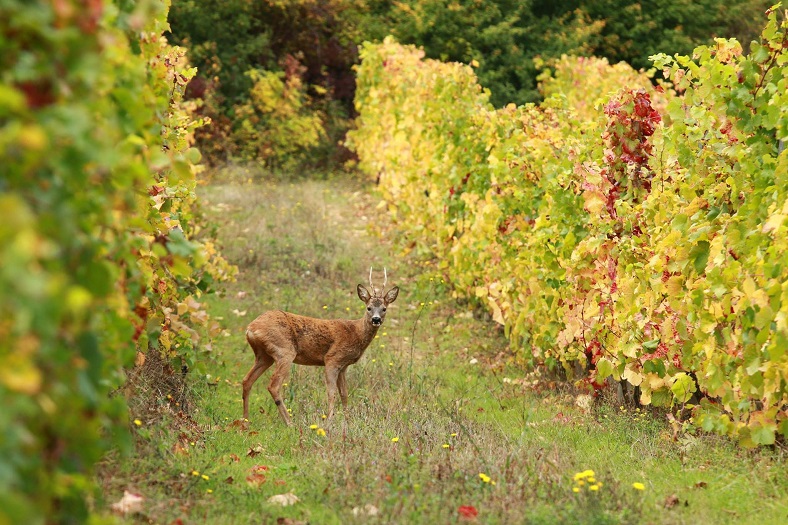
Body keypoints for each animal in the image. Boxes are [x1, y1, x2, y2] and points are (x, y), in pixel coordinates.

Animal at [242, 268, 400, 424]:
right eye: (368, 308)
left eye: (384, 308)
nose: (376, 319)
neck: (355, 333)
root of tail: (250, 328)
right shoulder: (332, 359)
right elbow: (331, 393)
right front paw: (329, 421)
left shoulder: (343, 366)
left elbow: (344, 394)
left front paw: (347, 420)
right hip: (284, 351)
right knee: (273, 386)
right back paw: (289, 423)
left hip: (264, 355)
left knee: (247, 380)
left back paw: (245, 422)